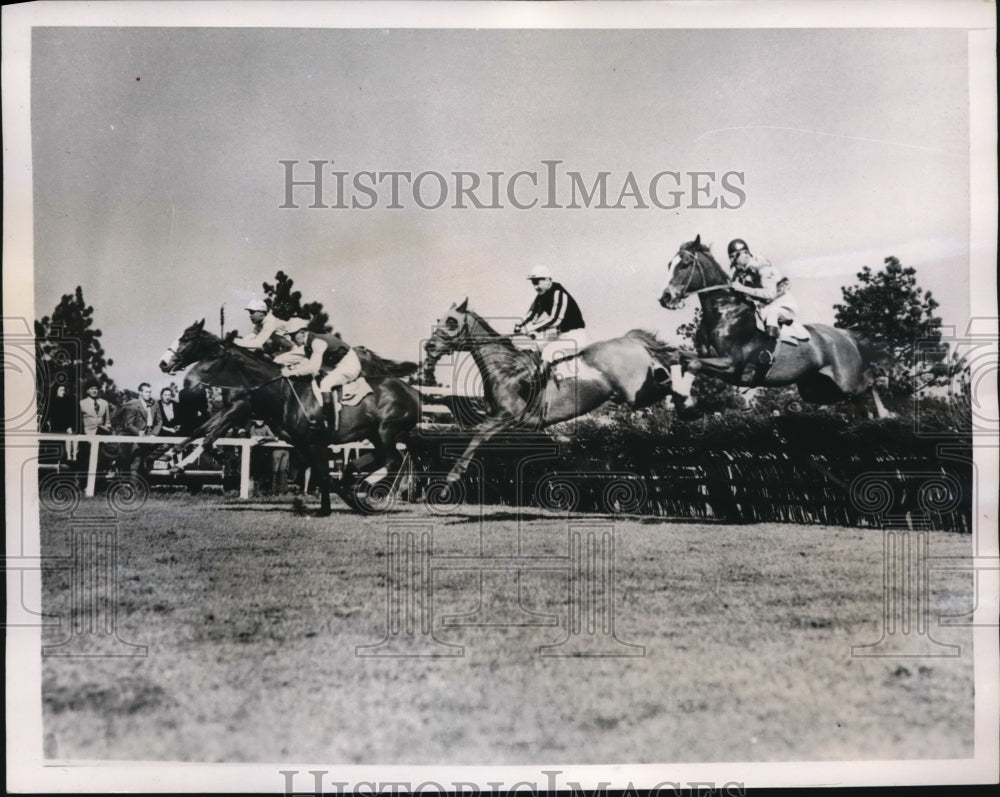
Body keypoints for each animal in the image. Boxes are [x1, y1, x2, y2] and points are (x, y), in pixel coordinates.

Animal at [159, 318, 422, 512]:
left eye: (186, 339)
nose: (163, 364)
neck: (280, 390)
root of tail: (414, 393)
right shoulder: (298, 440)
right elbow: (201, 430)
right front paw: (170, 455)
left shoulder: (244, 410)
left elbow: (209, 435)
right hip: (375, 434)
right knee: (381, 458)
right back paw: (355, 480)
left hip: (387, 431)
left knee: (393, 460)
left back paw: (375, 491)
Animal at [418, 298, 684, 486]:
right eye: (439, 319)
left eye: (452, 322)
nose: (430, 347)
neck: (505, 368)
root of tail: (629, 340)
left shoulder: (507, 417)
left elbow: (478, 435)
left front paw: (451, 479)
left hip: (637, 392)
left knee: (669, 379)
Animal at [660, 235, 896, 416]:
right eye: (669, 265)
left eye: (684, 264)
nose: (665, 299)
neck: (723, 312)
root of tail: (845, 335)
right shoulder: (709, 360)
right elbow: (680, 357)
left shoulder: (731, 364)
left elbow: (694, 364)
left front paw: (687, 407)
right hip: (816, 389)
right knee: (855, 398)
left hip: (847, 380)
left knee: (869, 383)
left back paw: (885, 412)